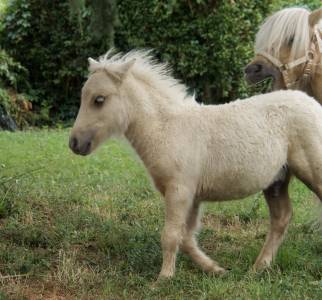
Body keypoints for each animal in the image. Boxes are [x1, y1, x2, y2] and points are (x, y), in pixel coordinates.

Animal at [70, 51, 322, 278]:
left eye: (99, 99)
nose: (74, 143)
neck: (166, 128)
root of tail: (314, 105)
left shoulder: (179, 191)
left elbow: (171, 235)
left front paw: (164, 279)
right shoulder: (191, 196)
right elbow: (186, 238)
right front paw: (215, 269)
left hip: (312, 172)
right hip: (276, 181)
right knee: (281, 218)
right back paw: (258, 268)